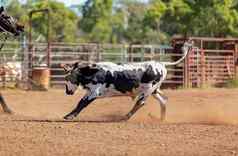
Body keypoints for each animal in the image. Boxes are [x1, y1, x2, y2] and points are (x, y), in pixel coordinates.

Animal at [62, 40, 192, 120]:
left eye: (69, 78)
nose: (67, 92)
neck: (95, 72)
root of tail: (161, 64)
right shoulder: (90, 92)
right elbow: (80, 102)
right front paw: (69, 115)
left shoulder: (94, 92)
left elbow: (82, 103)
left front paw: (69, 116)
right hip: (154, 91)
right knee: (163, 101)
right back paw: (160, 118)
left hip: (147, 91)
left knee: (140, 103)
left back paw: (125, 117)